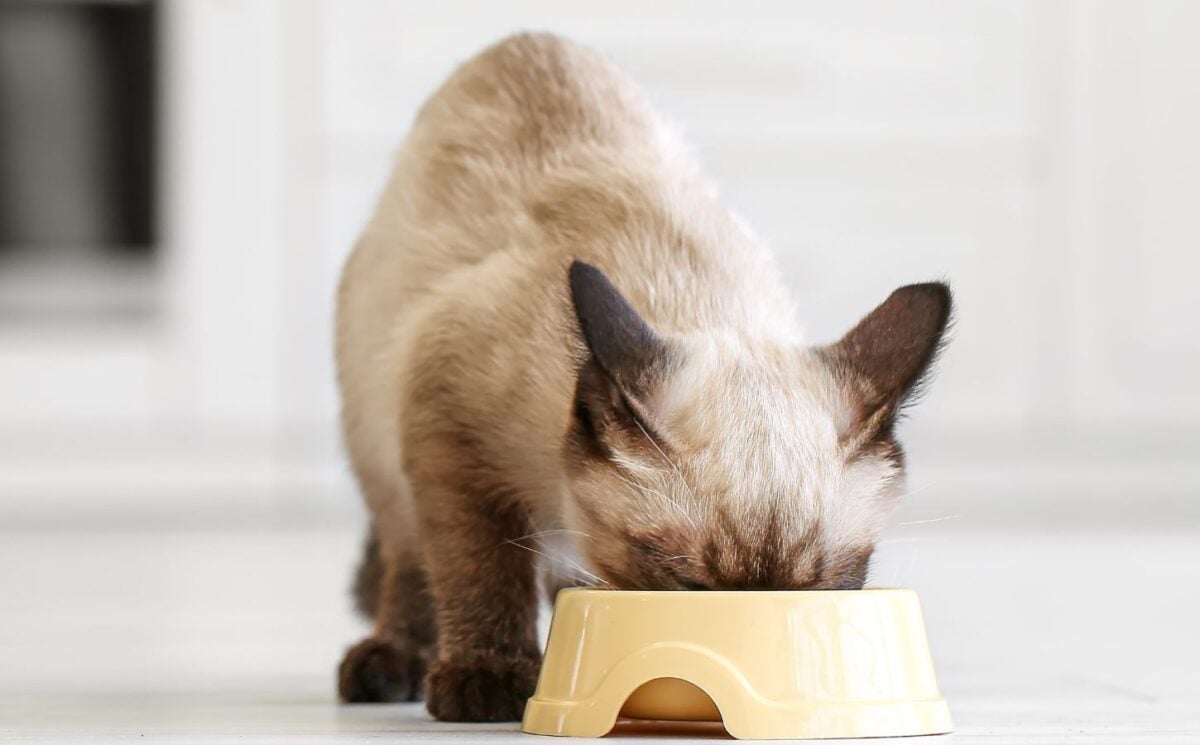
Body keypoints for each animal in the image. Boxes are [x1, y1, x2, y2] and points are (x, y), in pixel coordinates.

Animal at [333, 31, 950, 719]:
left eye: (822, 590)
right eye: (688, 585)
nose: (746, 635)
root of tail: (526, 39)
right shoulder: (450, 435)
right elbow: (479, 571)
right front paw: (489, 680)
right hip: (381, 444)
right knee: (410, 561)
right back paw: (390, 666)